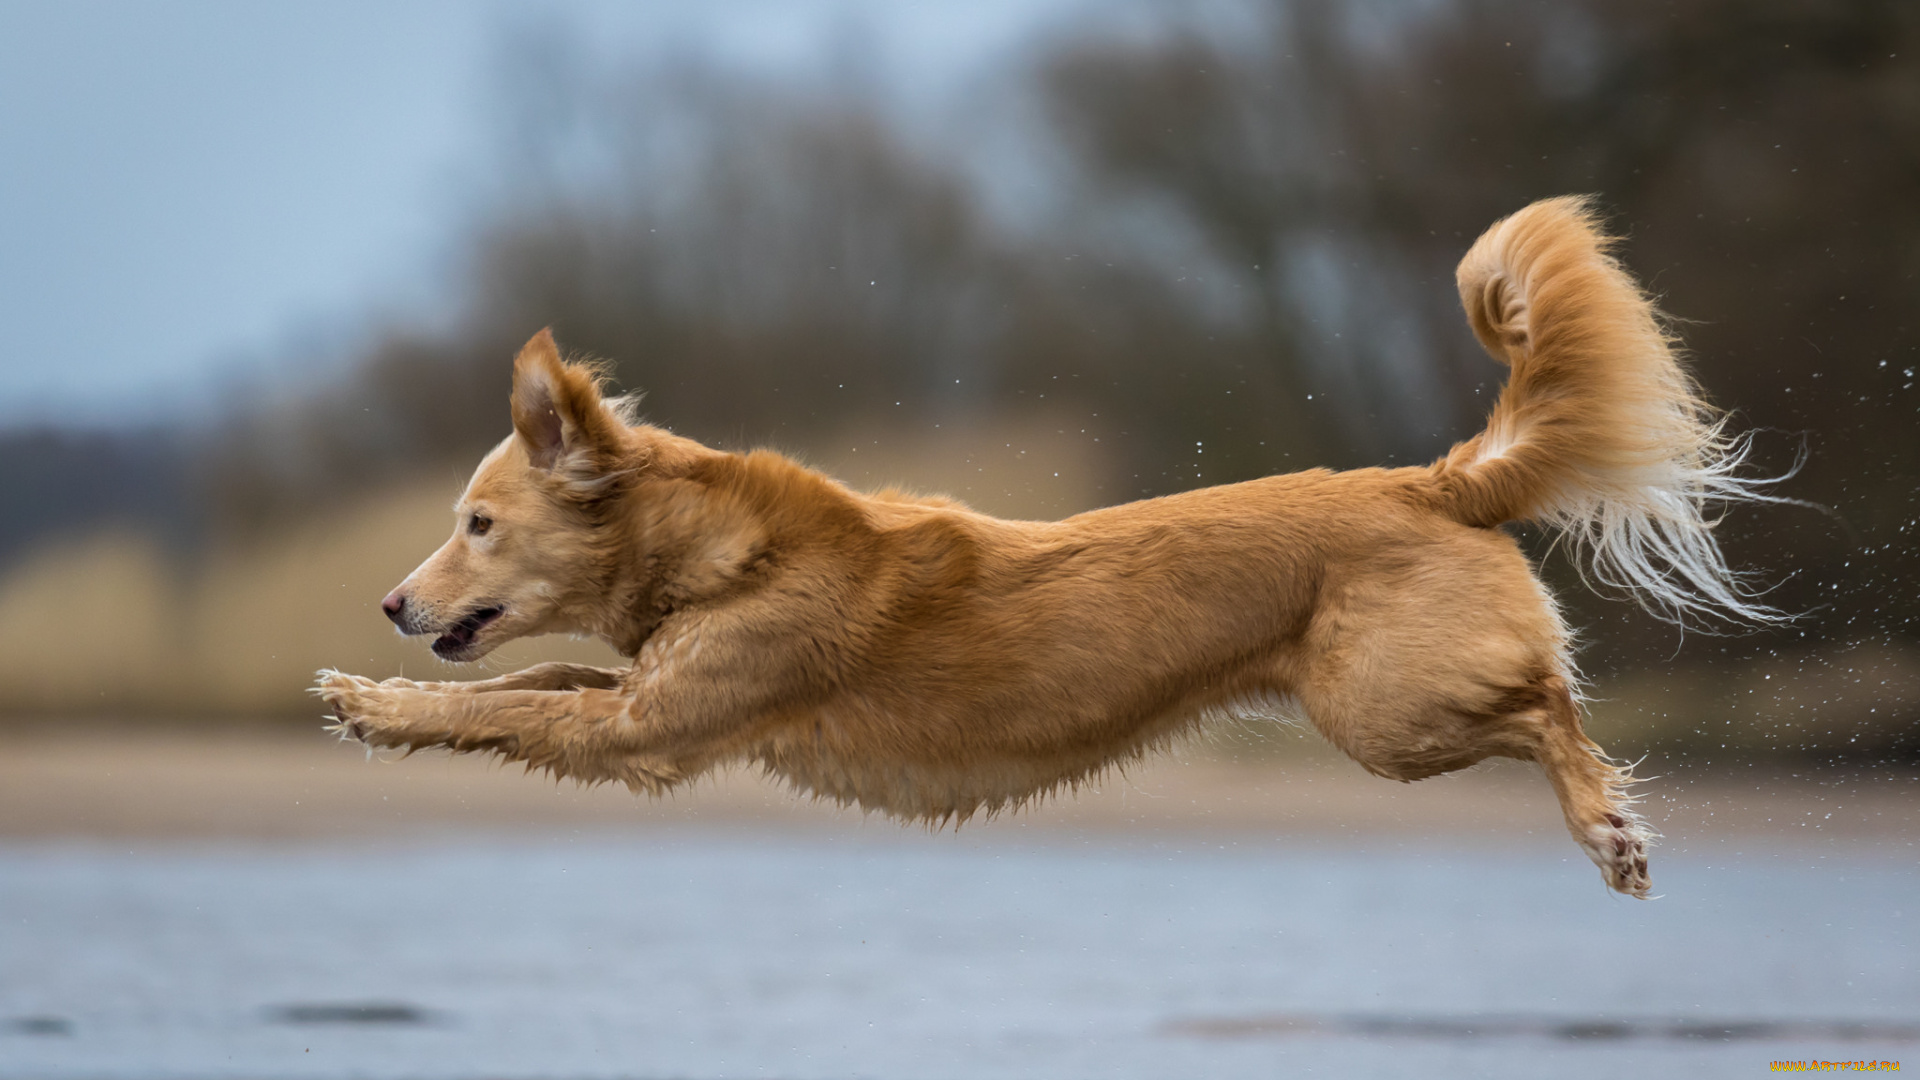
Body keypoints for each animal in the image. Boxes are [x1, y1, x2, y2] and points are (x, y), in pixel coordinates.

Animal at [318, 197, 1781, 895]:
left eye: (477, 523)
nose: (388, 603)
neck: (724, 553)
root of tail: (1429, 483)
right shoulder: (646, 696)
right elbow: (526, 682)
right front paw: (375, 695)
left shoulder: (648, 730)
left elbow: (503, 709)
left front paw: (374, 704)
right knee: (1548, 700)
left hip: (1387, 712)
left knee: (1550, 705)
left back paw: (1610, 830)